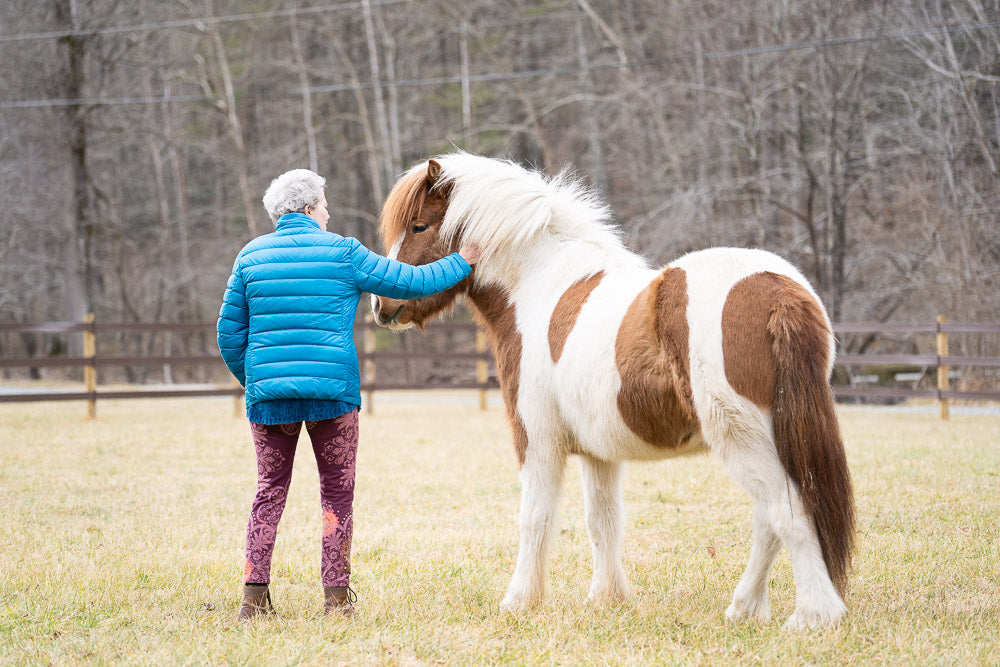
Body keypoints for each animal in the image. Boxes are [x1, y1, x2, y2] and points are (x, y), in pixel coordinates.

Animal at [370, 152, 855, 630]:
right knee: (768, 520)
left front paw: (520, 601)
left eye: (419, 225)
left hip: (742, 436)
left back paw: (814, 615)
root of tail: (779, 291)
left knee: (787, 512)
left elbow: (535, 517)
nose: (381, 306)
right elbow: (603, 520)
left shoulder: (538, 440)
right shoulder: (598, 452)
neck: (540, 286)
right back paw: (745, 608)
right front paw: (607, 598)